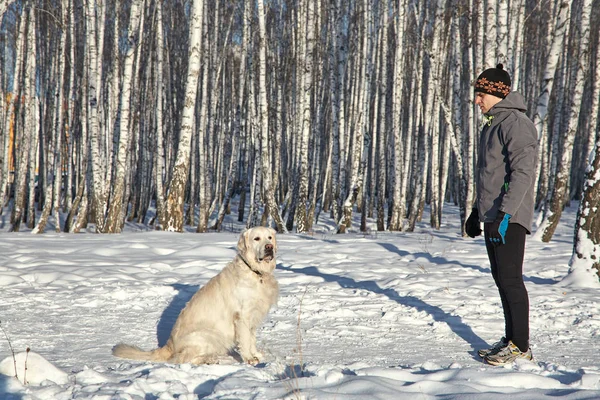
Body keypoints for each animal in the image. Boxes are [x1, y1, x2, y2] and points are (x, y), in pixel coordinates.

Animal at [112, 227, 278, 364]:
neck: (256, 272)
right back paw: (208, 360)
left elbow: (252, 339)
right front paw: (249, 359)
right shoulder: (242, 316)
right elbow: (245, 340)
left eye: (269, 237)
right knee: (182, 359)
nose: (269, 247)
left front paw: (256, 354)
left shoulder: (254, 316)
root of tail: (169, 345)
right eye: (257, 238)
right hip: (208, 335)